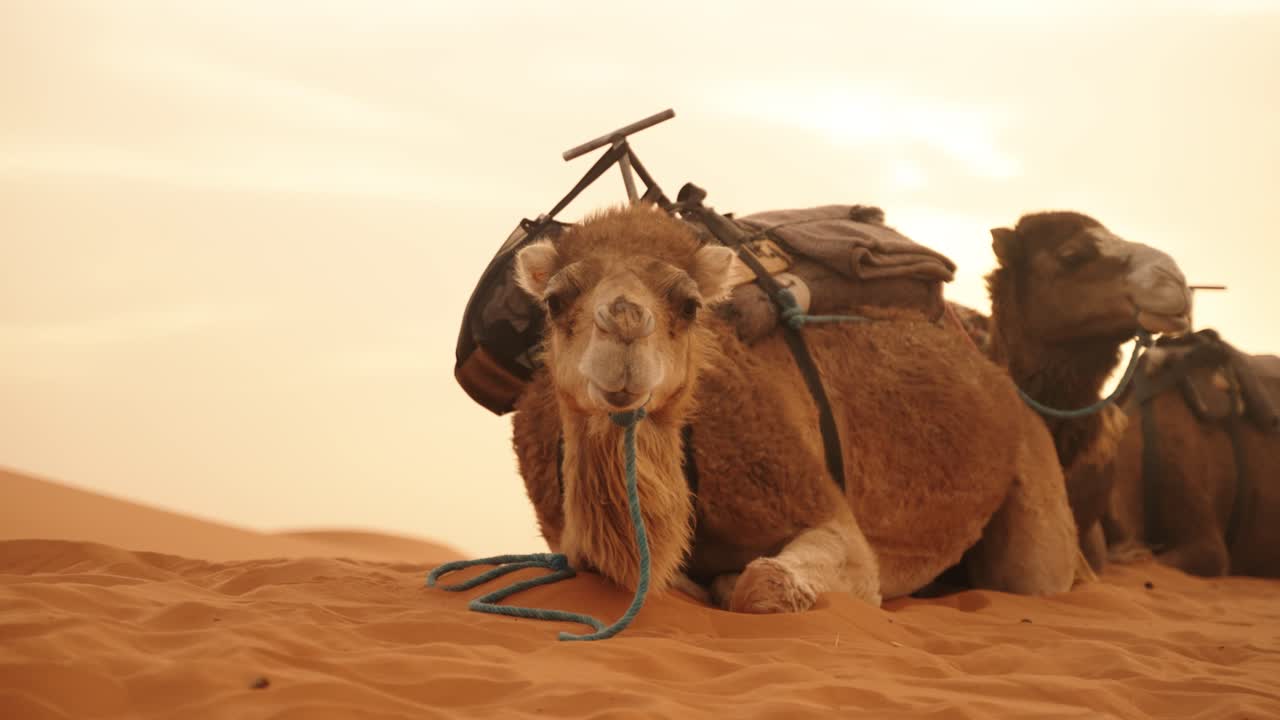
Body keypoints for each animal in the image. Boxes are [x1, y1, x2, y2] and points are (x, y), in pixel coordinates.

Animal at [508, 203, 1083, 613]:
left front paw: (729, 582)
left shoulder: (815, 503)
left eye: (689, 306)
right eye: (556, 301)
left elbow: (765, 581)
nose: (625, 321)